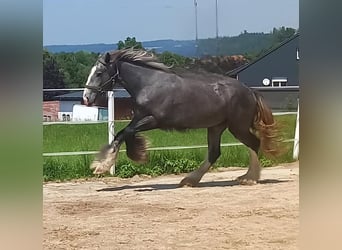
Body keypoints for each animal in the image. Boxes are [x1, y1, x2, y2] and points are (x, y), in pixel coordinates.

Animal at [82, 48, 280, 187]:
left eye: (99, 73)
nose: (86, 97)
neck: (149, 85)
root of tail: (251, 92)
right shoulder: (139, 117)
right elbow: (125, 133)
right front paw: (138, 152)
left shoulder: (153, 120)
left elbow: (124, 133)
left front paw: (101, 166)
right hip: (216, 127)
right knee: (215, 152)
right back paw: (190, 180)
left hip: (237, 126)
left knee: (254, 143)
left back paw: (249, 178)